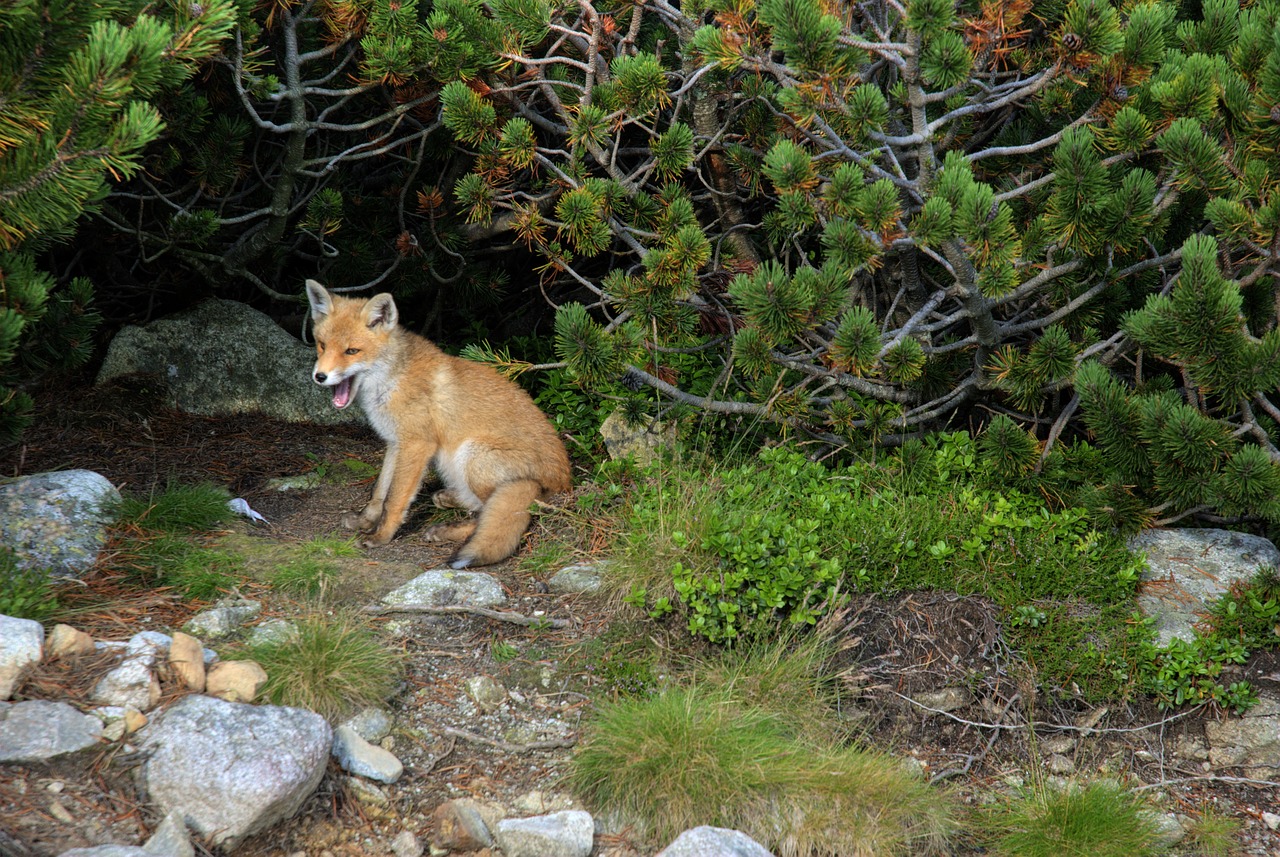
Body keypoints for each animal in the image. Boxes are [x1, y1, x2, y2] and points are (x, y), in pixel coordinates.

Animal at [304, 278, 570, 567]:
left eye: (352, 351)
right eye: (322, 345)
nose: (320, 376)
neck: (392, 380)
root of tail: (565, 483)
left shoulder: (417, 444)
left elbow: (394, 500)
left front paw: (381, 536)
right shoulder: (396, 442)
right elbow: (380, 491)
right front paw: (366, 520)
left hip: (473, 454)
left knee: (494, 513)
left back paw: (445, 530)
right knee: (481, 507)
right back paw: (448, 498)